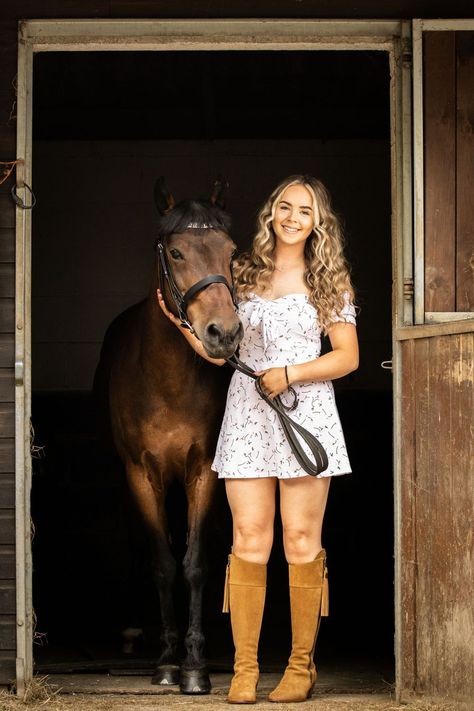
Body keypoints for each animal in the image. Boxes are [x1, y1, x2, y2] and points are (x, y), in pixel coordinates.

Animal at [102, 179, 243, 696]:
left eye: (231, 252)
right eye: (177, 252)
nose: (224, 333)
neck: (166, 381)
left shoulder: (203, 470)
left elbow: (195, 562)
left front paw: (196, 666)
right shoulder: (142, 475)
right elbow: (163, 563)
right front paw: (166, 662)